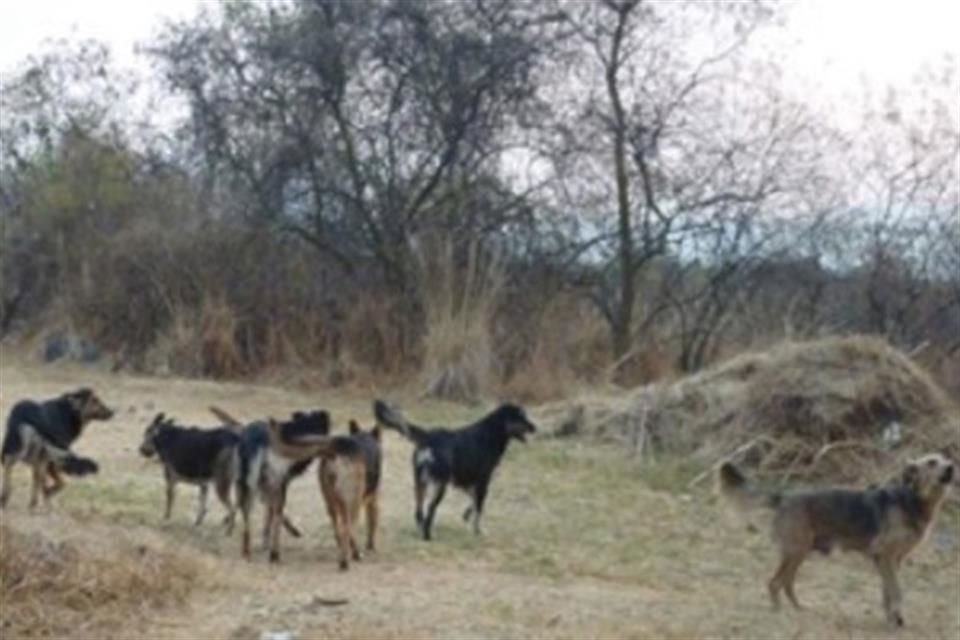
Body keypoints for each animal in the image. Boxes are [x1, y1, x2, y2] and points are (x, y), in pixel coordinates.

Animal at [374, 400, 536, 540]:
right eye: (521, 417)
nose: (535, 427)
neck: (491, 433)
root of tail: (428, 436)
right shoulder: (483, 479)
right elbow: (479, 506)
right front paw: (478, 530)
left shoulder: (466, 479)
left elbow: (473, 500)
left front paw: (466, 515)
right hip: (440, 485)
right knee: (430, 509)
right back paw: (427, 536)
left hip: (420, 483)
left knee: (419, 511)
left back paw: (421, 530)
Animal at [716, 452, 956, 628]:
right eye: (932, 462)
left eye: (946, 459)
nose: (952, 467)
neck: (912, 499)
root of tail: (784, 497)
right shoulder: (885, 557)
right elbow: (896, 592)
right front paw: (895, 620)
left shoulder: (892, 561)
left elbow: (887, 593)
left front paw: (893, 619)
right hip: (795, 551)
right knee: (774, 582)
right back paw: (779, 613)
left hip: (799, 552)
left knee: (786, 582)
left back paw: (799, 609)